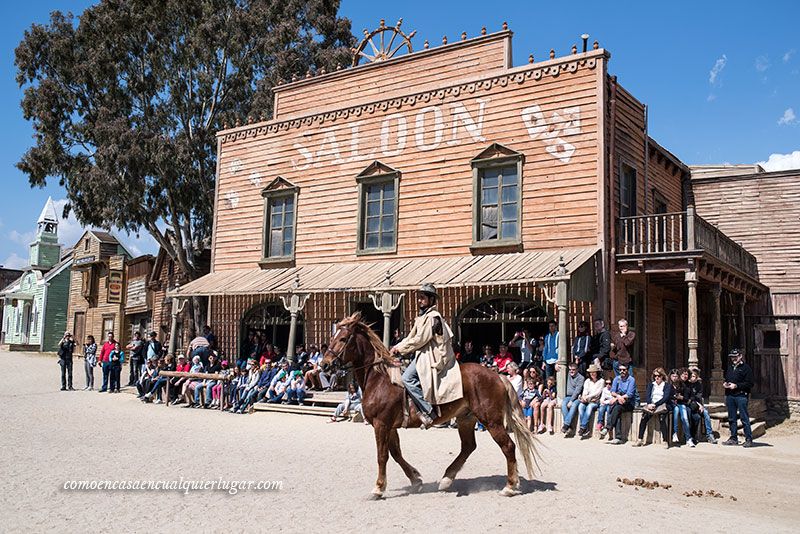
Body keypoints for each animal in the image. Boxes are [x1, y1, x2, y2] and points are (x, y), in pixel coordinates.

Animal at [320, 312, 536, 500]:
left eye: (343, 338)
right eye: (333, 336)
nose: (324, 364)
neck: (379, 378)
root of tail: (497, 376)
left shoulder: (381, 424)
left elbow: (382, 456)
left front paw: (378, 488)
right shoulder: (390, 426)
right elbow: (396, 454)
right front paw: (415, 480)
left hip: (491, 421)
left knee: (508, 446)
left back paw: (510, 486)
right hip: (466, 418)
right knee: (468, 447)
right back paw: (447, 479)